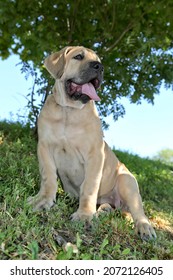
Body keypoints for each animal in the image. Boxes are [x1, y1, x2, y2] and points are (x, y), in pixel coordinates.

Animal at [27, 46, 156, 241]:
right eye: (78, 56)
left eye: (99, 61)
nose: (99, 67)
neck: (69, 110)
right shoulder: (44, 147)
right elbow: (48, 178)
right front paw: (42, 200)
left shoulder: (95, 154)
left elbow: (89, 186)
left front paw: (84, 215)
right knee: (110, 206)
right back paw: (103, 210)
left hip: (127, 181)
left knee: (138, 210)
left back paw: (144, 227)